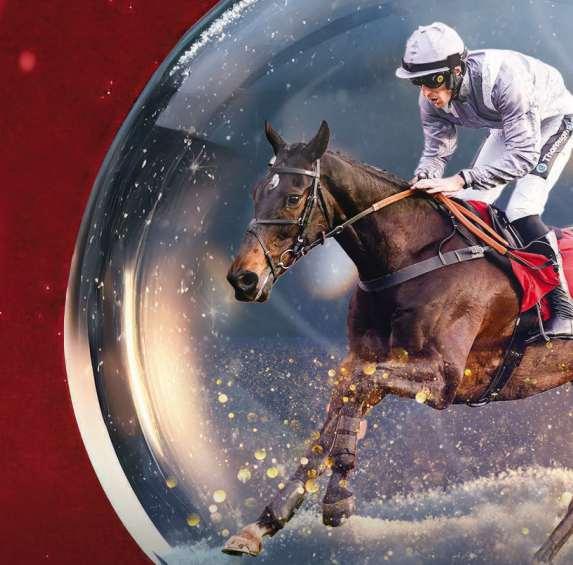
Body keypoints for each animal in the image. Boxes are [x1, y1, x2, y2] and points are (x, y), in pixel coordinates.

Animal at [223, 120, 573, 562]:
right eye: (255, 192)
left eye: (292, 197)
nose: (243, 278)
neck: (411, 256)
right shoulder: (362, 360)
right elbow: (331, 423)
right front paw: (260, 525)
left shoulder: (443, 378)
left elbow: (359, 391)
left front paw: (337, 500)